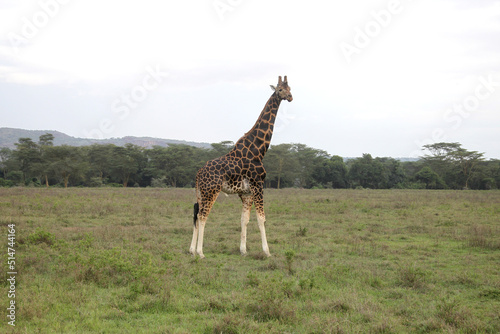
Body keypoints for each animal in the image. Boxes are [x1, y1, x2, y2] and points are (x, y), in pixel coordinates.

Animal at [190, 75, 292, 258]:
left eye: (291, 88)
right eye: (280, 89)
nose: (290, 97)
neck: (259, 150)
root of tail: (198, 174)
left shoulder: (246, 192)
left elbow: (244, 219)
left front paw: (243, 250)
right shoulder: (258, 185)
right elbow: (261, 218)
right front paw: (267, 251)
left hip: (201, 192)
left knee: (196, 213)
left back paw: (192, 250)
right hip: (211, 191)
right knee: (202, 216)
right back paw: (200, 252)